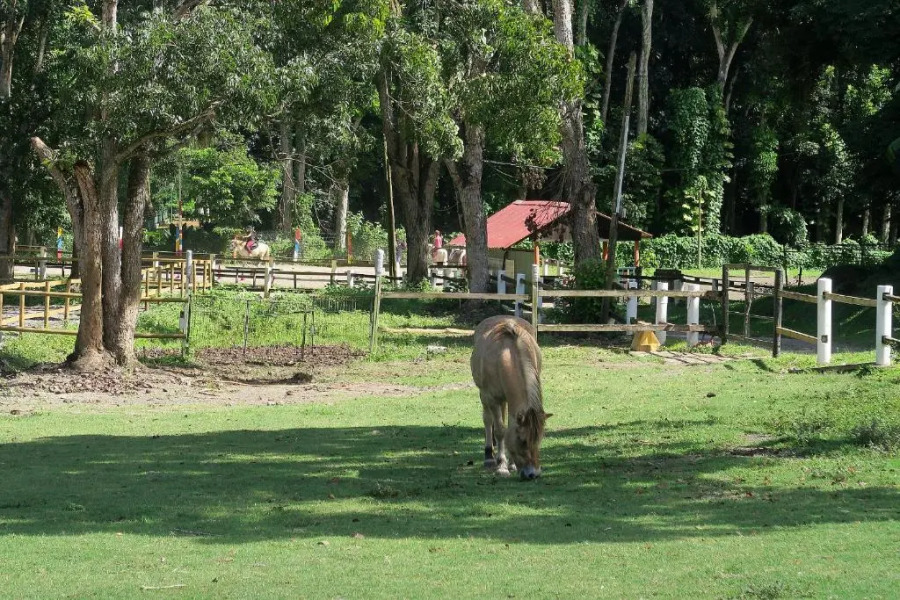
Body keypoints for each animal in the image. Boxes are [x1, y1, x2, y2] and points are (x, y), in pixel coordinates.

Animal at [470, 315, 551, 480]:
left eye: (538, 440)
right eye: (522, 440)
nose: (533, 474)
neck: (506, 354)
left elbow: (508, 426)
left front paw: (511, 464)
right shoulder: (492, 398)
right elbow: (500, 430)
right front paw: (502, 466)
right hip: (485, 397)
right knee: (488, 420)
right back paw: (489, 457)